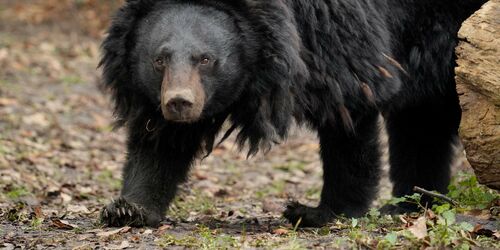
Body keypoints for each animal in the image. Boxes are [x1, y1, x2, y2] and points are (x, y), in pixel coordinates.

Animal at [97, 0, 484, 227]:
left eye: (205, 59)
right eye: (159, 59)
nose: (179, 102)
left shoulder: (335, 35)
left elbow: (347, 121)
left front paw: (320, 212)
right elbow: (161, 143)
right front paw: (128, 209)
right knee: (421, 124)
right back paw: (412, 203)